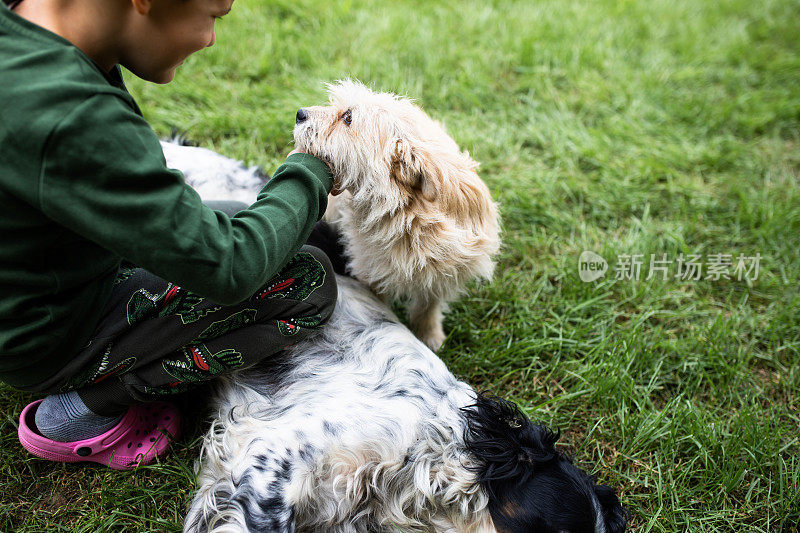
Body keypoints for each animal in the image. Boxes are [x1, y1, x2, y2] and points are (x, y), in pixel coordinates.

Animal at [294, 81, 500, 352]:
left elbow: (428, 306)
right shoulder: (370, 271)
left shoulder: (441, 273)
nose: (299, 114)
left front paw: (429, 335)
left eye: (348, 118)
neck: (409, 218)